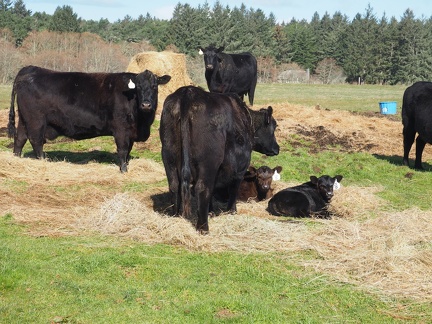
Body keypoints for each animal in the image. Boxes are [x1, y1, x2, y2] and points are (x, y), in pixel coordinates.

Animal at [8, 64, 170, 173]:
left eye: (155, 86)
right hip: (36, 121)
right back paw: (43, 161)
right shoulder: (121, 130)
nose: (146, 104)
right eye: (138, 87)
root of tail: (30, 69)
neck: (142, 122)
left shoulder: (130, 133)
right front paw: (123, 170)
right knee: (36, 141)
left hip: (24, 119)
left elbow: (128, 150)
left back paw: (16, 158)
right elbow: (123, 150)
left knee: (20, 138)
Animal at [159, 86, 280, 233]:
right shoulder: (241, 167)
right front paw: (232, 211)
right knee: (202, 188)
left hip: (168, 156)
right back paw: (203, 228)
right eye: (274, 127)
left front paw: (211, 211)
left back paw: (176, 217)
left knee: (174, 185)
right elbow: (233, 188)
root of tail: (188, 92)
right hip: (208, 162)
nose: (277, 148)